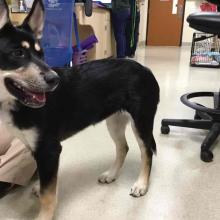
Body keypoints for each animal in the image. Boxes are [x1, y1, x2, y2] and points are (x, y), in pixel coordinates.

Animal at [0, 0, 159, 219]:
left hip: (141, 121)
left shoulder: (49, 149)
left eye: (41, 54)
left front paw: (44, 215)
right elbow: (45, 182)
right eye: (18, 53)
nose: (54, 80)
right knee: (123, 147)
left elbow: (48, 195)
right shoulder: (35, 148)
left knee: (146, 152)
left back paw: (141, 184)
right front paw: (39, 188)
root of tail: (146, 69)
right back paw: (111, 174)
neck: (14, 103)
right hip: (115, 121)